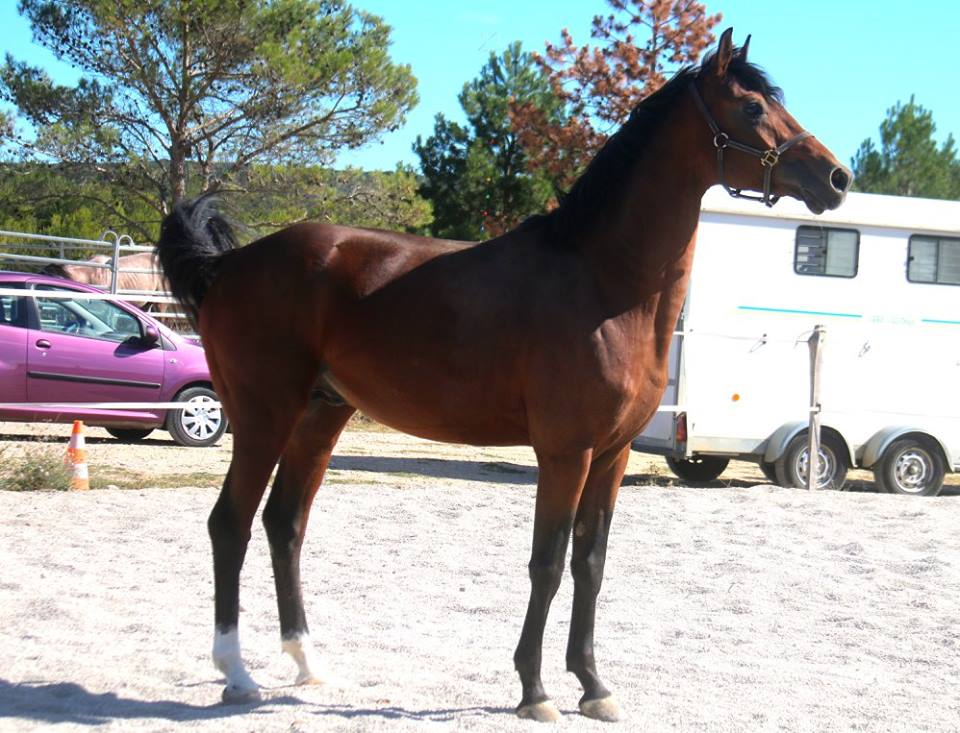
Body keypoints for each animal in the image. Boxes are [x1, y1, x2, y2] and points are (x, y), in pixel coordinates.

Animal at [155, 29, 851, 721]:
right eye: (753, 107)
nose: (836, 176)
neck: (605, 282)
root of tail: (230, 266)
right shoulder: (566, 453)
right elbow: (547, 563)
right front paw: (535, 691)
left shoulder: (613, 455)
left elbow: (590, 562)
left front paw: (593, 685)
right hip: (264, 417)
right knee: (231, 524)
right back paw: (237, 674)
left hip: (320, 416)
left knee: (285, 525)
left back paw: (307, 664)